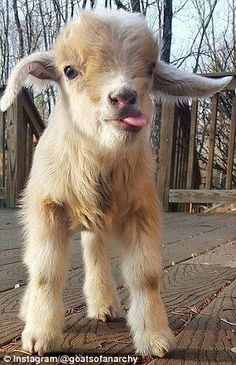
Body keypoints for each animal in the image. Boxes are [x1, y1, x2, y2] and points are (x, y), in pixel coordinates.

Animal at [0, 9, 232, 356]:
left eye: (150, 68)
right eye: (69, 71)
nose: (124, 98)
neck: (100, 157)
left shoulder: (142, 209)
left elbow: (146, 276)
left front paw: (155, 338)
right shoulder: (46, 206)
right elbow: (44, 271)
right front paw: (39, 336)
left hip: (97, 221)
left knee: (95, 252)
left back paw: (104, 305)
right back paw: (33, 310)